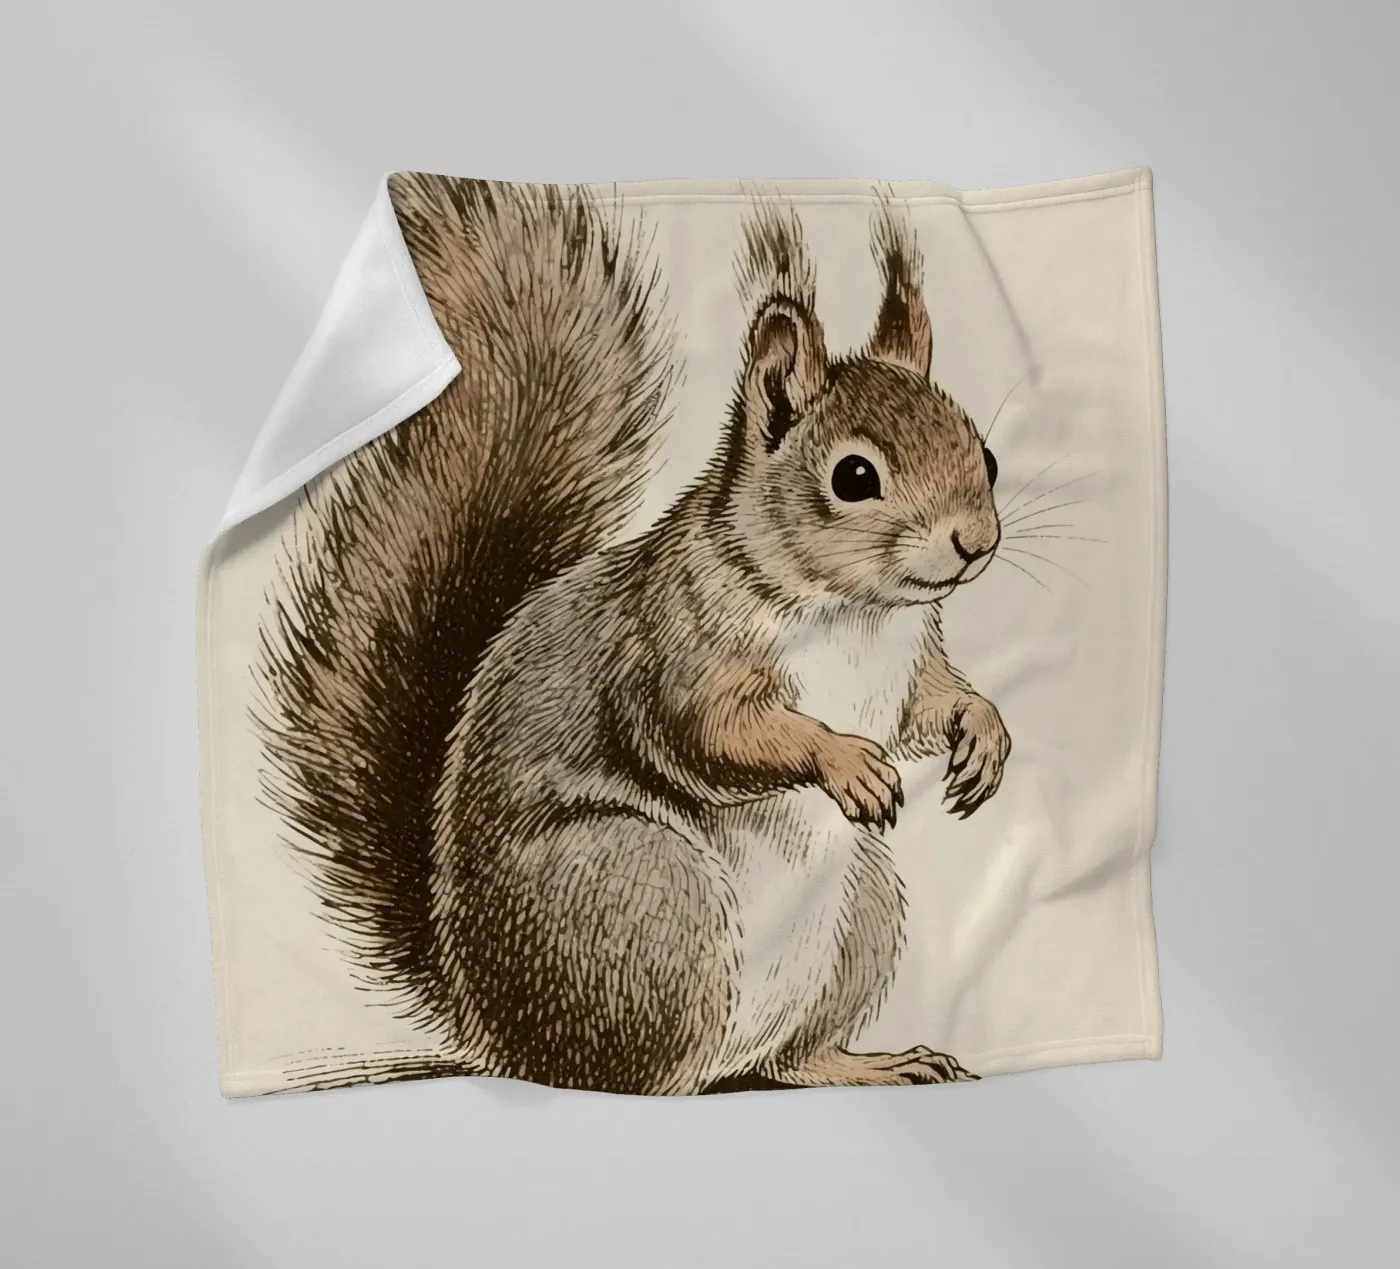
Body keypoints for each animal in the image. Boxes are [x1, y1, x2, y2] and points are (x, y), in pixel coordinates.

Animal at [256, 171, 1011, 1096]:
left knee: (787, 1057)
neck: (855, 613)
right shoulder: (673, 647)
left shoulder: (909, 665)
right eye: (855, 475)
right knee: (646, 1075)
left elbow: (931, 704)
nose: (976, 541)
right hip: (643, 898)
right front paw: (844, 760)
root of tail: (504, 1041)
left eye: (986, 454)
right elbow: (709, 732)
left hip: (861, 908)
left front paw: (983, 733)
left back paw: (872, 1062)